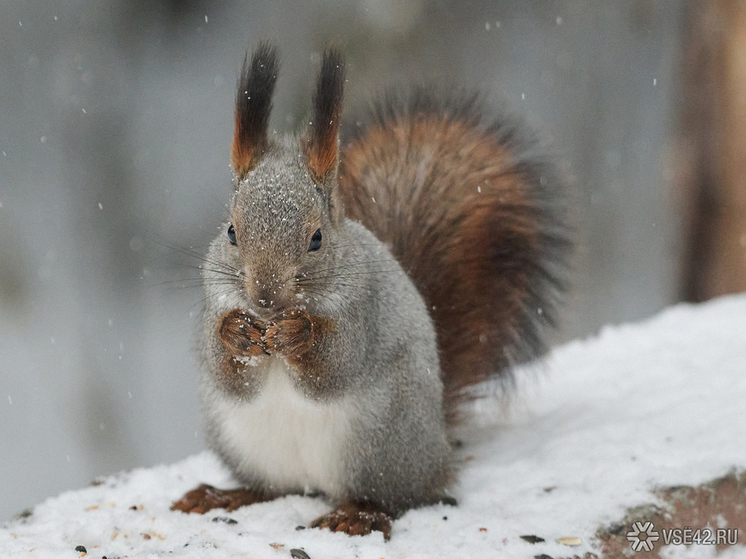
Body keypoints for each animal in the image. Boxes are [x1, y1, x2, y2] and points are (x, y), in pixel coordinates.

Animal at [171, 41, 568, 540]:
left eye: (316, 238)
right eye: (230, 232)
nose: (264, 297)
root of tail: (438, 448)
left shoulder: (362, 309)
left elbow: (335, 365)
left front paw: (299, 335)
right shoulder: (215, 299)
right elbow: (226, 369)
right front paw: (237, 333)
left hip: (378, 441)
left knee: (399, 497)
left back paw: (358, 513)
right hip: (244, 442)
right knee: (271, 489)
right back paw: (225, 495)